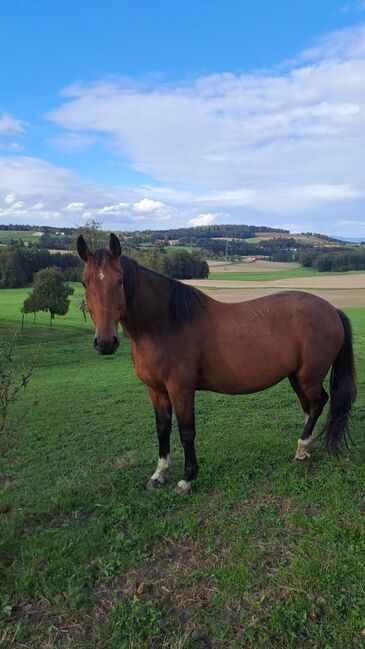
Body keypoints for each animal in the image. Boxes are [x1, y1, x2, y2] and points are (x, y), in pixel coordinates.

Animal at [77, 235, 356, 494]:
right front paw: (159, 474)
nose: (105, 343)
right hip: (296, 376)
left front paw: (187, 479)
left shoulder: (181, 389)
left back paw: (301, 447)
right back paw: (305, 449)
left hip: (309, 376)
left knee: (318, 403)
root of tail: (332, 309)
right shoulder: (156, 391)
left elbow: (186, 432)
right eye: (84, 282)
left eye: (120, 280)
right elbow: (162, 429)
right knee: (310, 407)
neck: (166, 323)